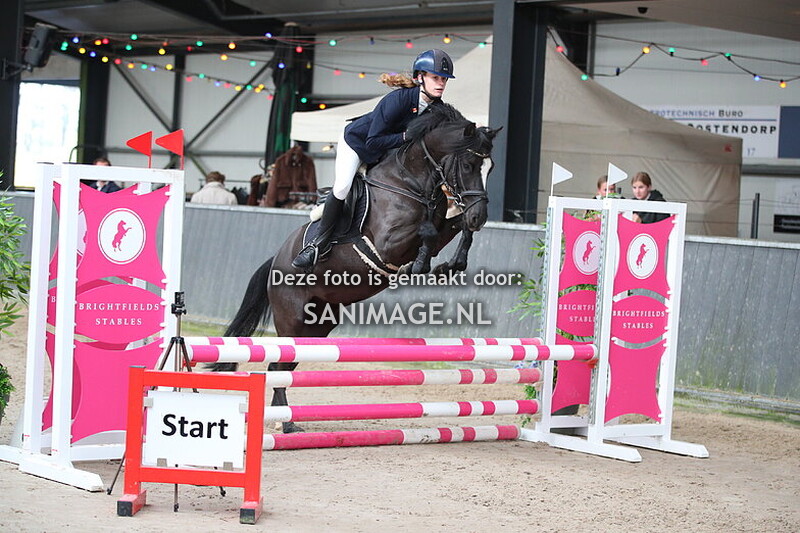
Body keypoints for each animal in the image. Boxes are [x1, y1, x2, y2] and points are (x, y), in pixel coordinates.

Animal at [214, 104, 500, 432]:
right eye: (467, 165)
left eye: (490, 168)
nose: (481, 216)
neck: (412, 181)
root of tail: (276, 260)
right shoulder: (388, 242)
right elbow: (426, 231)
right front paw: (419, 265)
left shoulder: (443, 226)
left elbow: (456, 228)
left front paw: (451, 264)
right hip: (292, 319)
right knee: (278, 365)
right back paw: (285, 425)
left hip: (317, 326)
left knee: (283, 365)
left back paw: (285, 421)